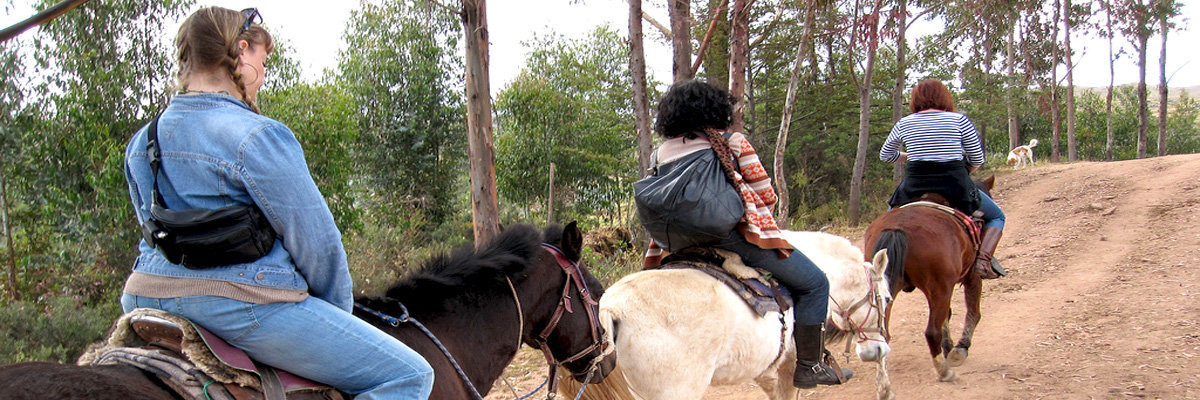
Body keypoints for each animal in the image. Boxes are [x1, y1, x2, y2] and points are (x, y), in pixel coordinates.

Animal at [864, 176, 993, 381]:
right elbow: (973, 312)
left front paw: (949, 348)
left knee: (883, 334)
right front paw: (960, 349)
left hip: (887, 289)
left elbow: (947, 316)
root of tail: (897, 228)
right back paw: (944, 371)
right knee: (932, 331)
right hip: (940, 288)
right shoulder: (971, 277)